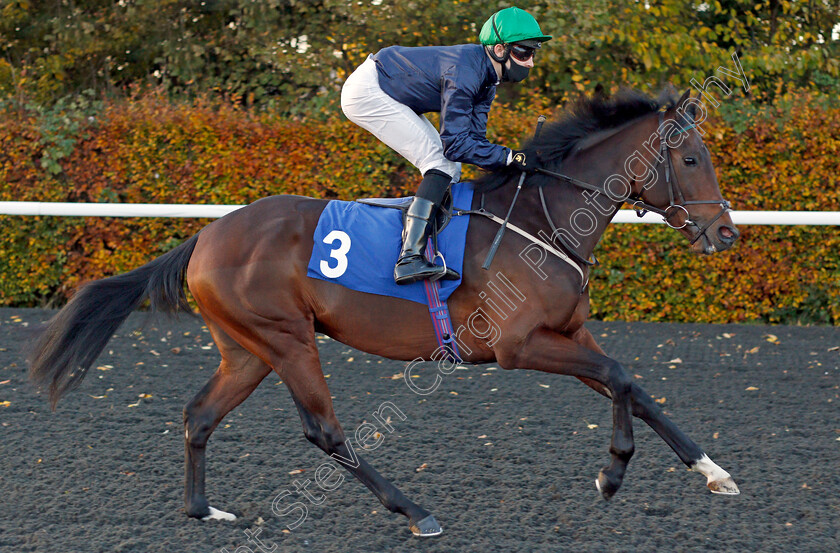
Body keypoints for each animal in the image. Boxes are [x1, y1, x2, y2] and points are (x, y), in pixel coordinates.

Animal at [26, 89, 740, 536]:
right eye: (690, 158)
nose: (726, 233)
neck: (545, 221)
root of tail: (207, 234)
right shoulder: (518, 345)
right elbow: (620, 378)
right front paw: (611, 474)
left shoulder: (568, 332)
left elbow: (635, 388)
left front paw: (714, 473)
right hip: (286, 340)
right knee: (325, 431)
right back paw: (415, 510)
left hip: (247, 349)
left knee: (199, 414)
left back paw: (204, 511)